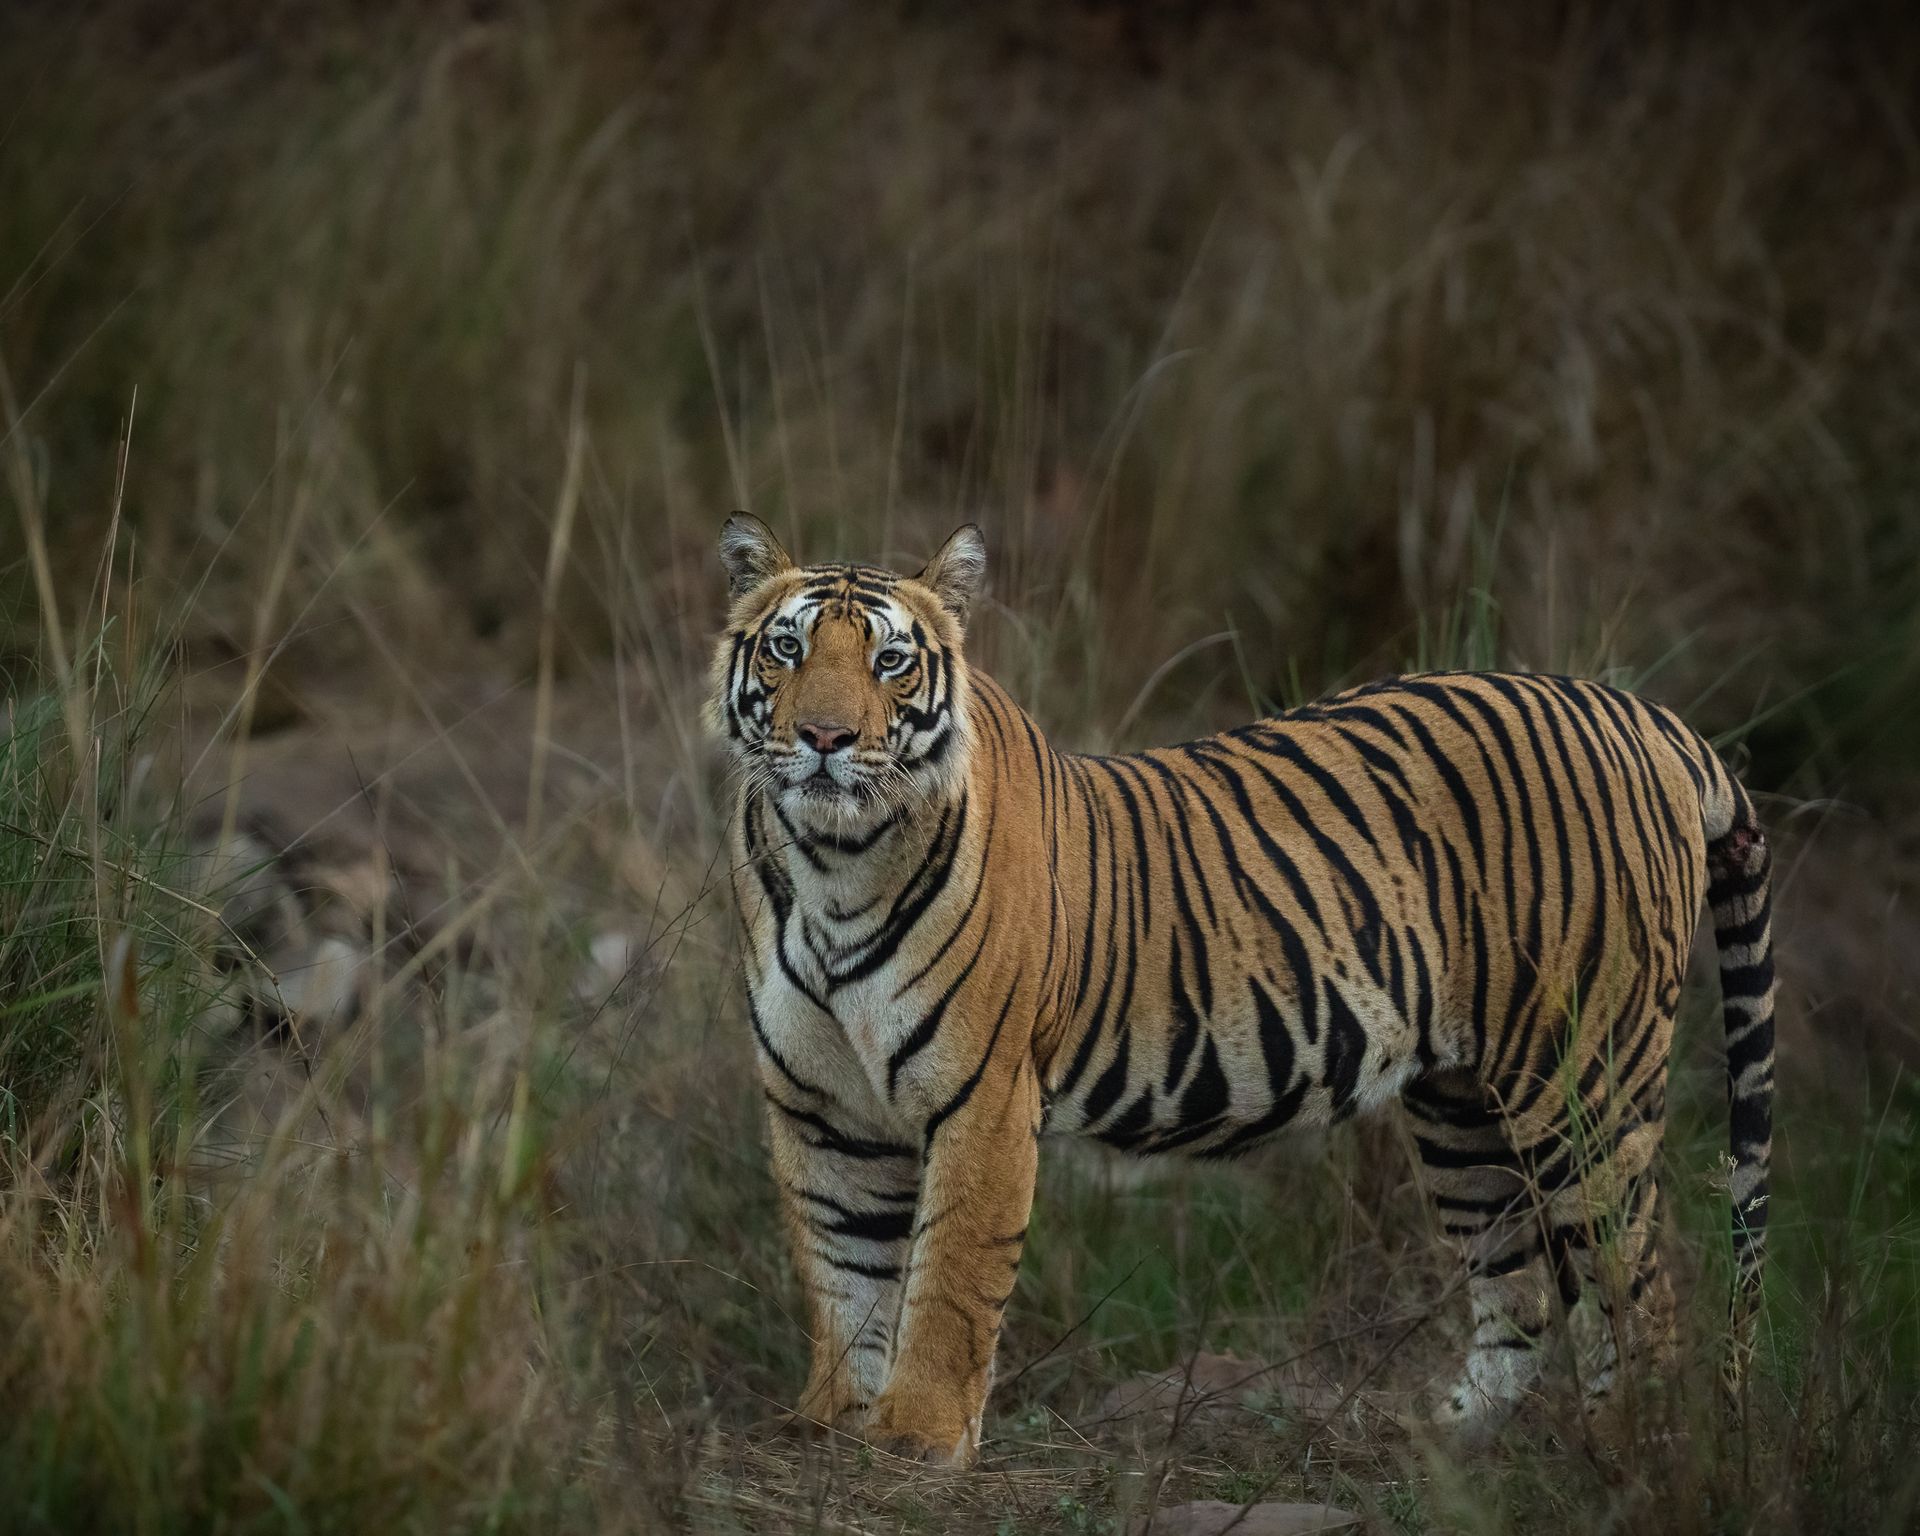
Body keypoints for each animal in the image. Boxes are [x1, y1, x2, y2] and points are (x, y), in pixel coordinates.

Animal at [708, 514, 1777, 1466]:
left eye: (891, 662)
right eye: (789, 648)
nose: (826, 737)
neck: (834, 864)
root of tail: (1645, 715)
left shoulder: (982, 1101)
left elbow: (948, 1285)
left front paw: (916, 1441)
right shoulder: (821, 1108)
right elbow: (844, 1274)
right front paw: (833, 1422)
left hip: (1582, 1077)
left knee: (1640, 1283)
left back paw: (1636, 1456)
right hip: (1462, 1108)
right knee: (1516, 1289)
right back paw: (1440, 1447)